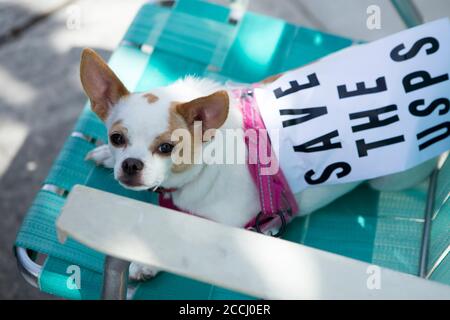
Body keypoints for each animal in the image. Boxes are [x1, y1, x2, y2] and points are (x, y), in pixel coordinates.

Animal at [80, 48, 436, 280]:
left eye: (167, 147)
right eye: (116, 138)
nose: (130, 165)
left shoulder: (226, 228)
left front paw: (147, 263)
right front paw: (104, 155)